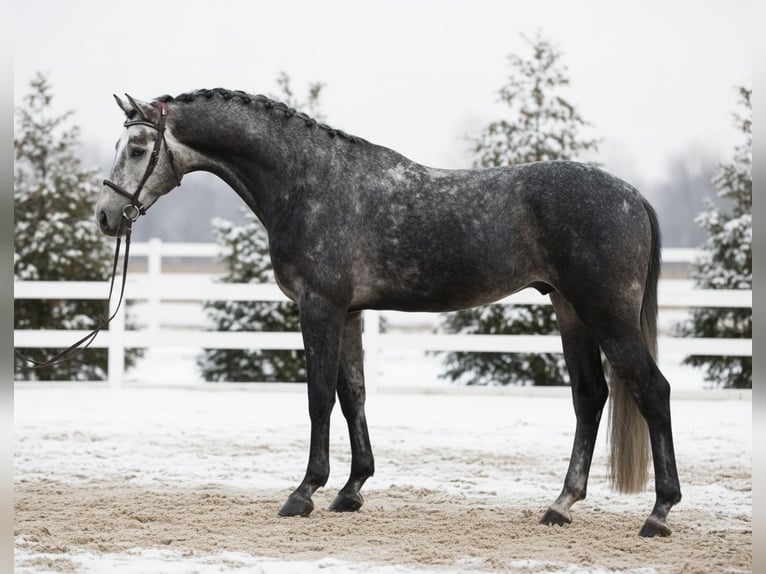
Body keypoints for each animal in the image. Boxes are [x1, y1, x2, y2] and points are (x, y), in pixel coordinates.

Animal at [96, 88, 681, 537]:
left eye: (139, 146)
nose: (106, 216)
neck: (310, 181)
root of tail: (633, 197)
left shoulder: (319, 308)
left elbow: (319, 399)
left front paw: (304, 492)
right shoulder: (350, 313)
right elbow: (352, 396)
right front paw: (351, 490)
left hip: (605, 312)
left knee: (652, 390)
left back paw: (658, 514)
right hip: (570, 310)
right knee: (590, 396)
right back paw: (560, 505)